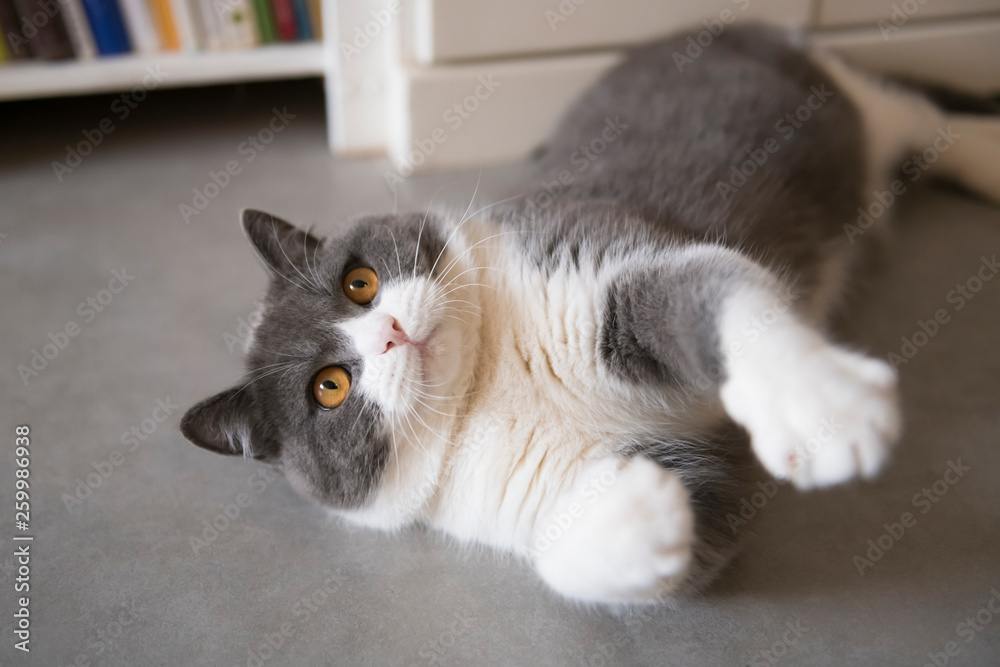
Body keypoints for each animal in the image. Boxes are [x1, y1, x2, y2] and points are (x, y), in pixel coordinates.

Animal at [180, 24, 1000, 604]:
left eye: (359, 282)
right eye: (329, 387)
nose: (390, 330)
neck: (487, 383)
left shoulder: (592, 254)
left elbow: (714, 288)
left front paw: (823, 408)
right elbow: (673, 542)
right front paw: (644, 512)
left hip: (847, 93)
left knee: (924, 116)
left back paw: (985, 154)